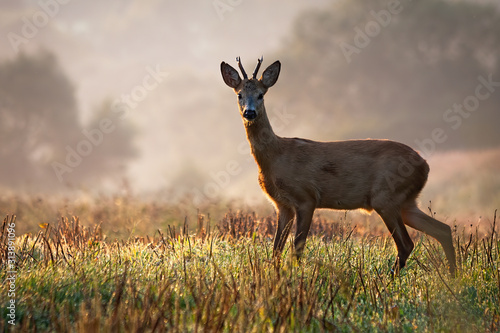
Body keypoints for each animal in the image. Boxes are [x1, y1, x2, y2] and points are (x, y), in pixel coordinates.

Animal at [221, 57, 456, 274]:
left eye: (261, 94)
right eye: (239, 94)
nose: (249, 112)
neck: (275, 157)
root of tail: (425, 165)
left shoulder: (306, 197)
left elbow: (297, 248)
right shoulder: (282, 204)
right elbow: (276, 249)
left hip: (386, 197)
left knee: (407, 244)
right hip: (407, 202)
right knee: (443, 229)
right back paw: (454, 278)